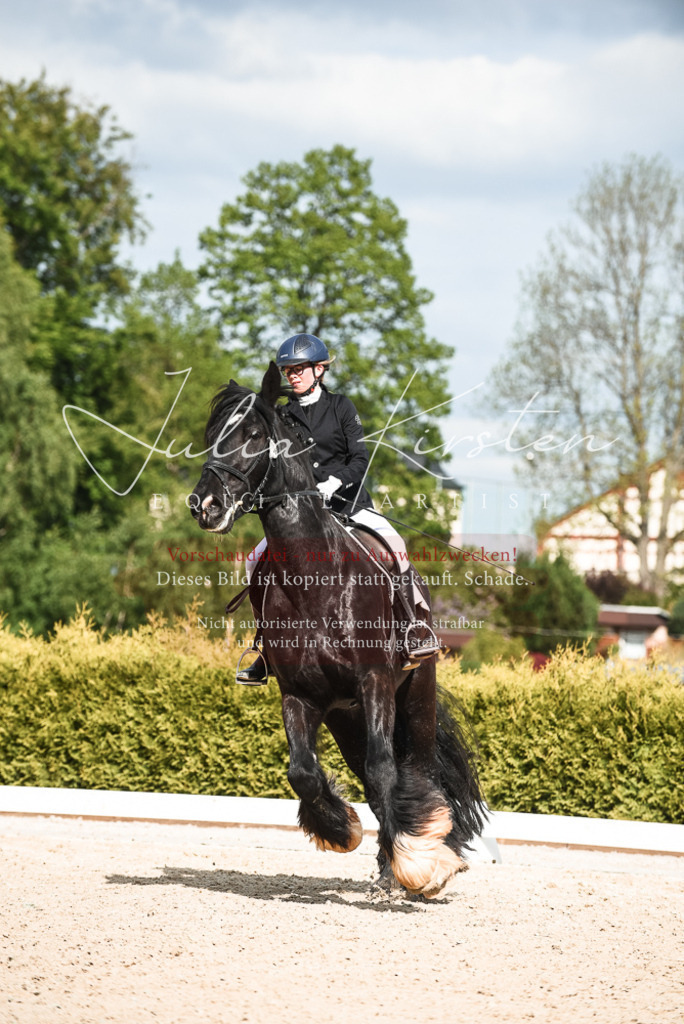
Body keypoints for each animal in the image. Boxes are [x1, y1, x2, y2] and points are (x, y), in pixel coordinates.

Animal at [189, 362, 487, 898]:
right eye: (212, 437)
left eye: (252, 436)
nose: (204, 505)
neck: (314, 579)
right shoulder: (299, 694)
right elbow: (303, 772)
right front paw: (338, 828)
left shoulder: (374, 683)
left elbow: (385, 768)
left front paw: (422, 863)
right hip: (344, 717)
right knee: (372, 775)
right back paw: (388, 864)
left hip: (413, 693)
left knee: (414, 767)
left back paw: (426, 858)